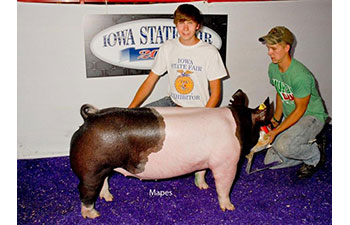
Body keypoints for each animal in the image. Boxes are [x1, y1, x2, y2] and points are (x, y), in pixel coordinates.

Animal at [69, 89, 270, 218]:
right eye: (260, 126)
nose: (267, 139)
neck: (237, 125)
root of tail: (90, 117)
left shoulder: (204, 160)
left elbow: (201, 172)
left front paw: (203, 187)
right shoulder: (226, 163)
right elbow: (224, 186)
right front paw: (229, 208)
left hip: (104, 167)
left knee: (104, 182)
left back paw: (108, 198)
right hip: (91, 170)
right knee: (85, 192)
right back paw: (94, 215)